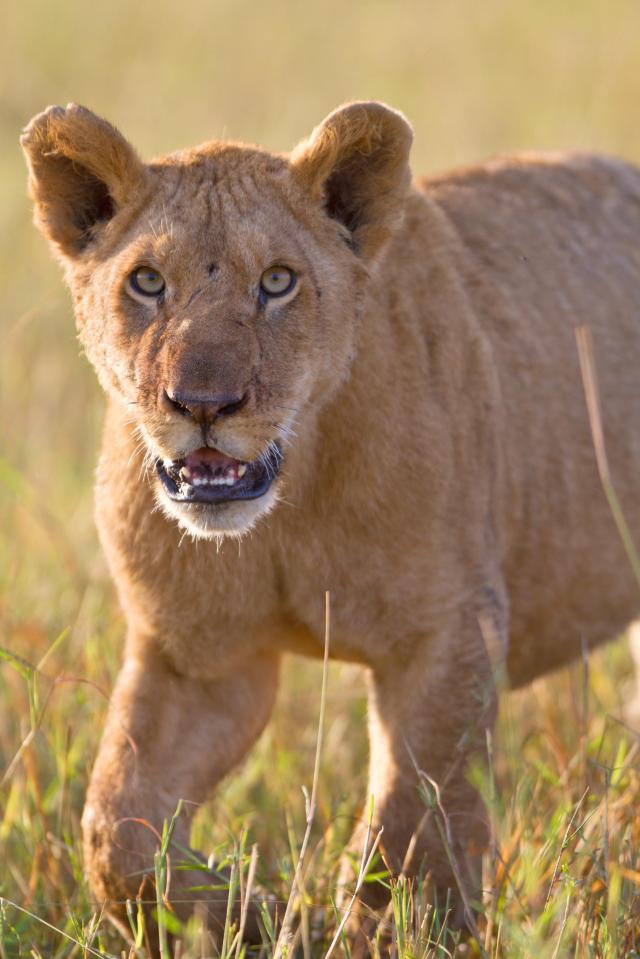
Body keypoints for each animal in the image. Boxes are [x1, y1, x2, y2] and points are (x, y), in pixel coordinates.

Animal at [20, 101, 640, 956]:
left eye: (278, 281)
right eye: (147, 281)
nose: (203, 404)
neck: (290, 506)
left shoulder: (449, 629)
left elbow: (414, 822)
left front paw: (388, 928)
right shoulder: (198, 657)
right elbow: (116, 829)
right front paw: (243, 914)